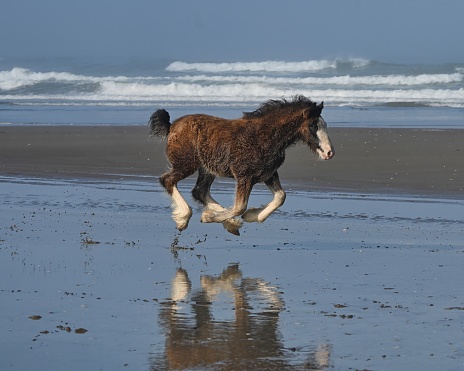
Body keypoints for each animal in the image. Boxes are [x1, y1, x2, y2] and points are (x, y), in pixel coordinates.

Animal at [150, 96, 336, 235]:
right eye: (313, 125)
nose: (329, 152)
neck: (266, 137)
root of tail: (171, 126)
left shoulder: (268, 174)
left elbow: (280, 197)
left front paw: (251, 216)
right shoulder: (244, 176)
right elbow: (240, 206)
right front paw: (208, 218)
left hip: (207, 169)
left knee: (199, 191)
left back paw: (229, 222)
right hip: (186, 165)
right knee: (167, 180)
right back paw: (184, 218)